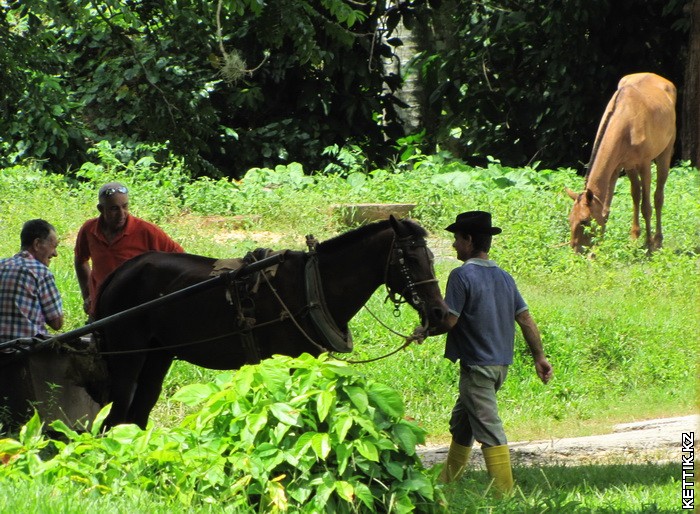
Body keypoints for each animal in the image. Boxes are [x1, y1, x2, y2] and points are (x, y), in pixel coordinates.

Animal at [91, 216, 448, 428]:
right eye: (410, 258)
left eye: (431, 257)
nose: (440, 315)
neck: (313, 284)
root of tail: (118, 274)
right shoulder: (289, 361)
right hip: (128, 355)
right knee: (116, 413)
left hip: (159, 354)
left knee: (138, 411)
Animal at [568, 73, 676, 253]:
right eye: (570, 219)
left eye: (585, 221)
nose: (576, 250)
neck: (625, 120)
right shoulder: (621, 164)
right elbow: (608, 207)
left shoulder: (644, 163)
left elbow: (646, 206)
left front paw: (649, 245)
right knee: (636, 194)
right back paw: (635, 236)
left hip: (666, 150)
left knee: (658, 195)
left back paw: (658, 240)